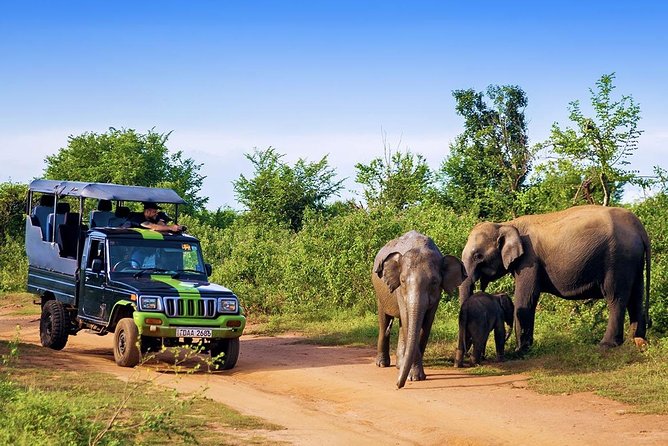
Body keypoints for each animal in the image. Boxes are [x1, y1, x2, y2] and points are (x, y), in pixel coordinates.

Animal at [373, 230, 466, 389]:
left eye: (434, 282)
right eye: (402, 281)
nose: (398, 385)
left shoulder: (436, 296)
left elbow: (425, 325)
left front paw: (415, 375)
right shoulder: (399, 291)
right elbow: (407, 320)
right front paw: (414, 377)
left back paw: (400, 365)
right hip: (380, 293)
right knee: (384, 322)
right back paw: (382, 364)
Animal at [458, 205, 651, 353]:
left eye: (478, 256)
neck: (506, 224)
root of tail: (639, 228)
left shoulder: (529, 261)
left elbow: (526, 298)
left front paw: (520, 351)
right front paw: (525, 348)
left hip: (618, 259)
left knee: (615, 297)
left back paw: (606, 345)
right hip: (634, 260)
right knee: (636, 296)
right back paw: (637, 340)